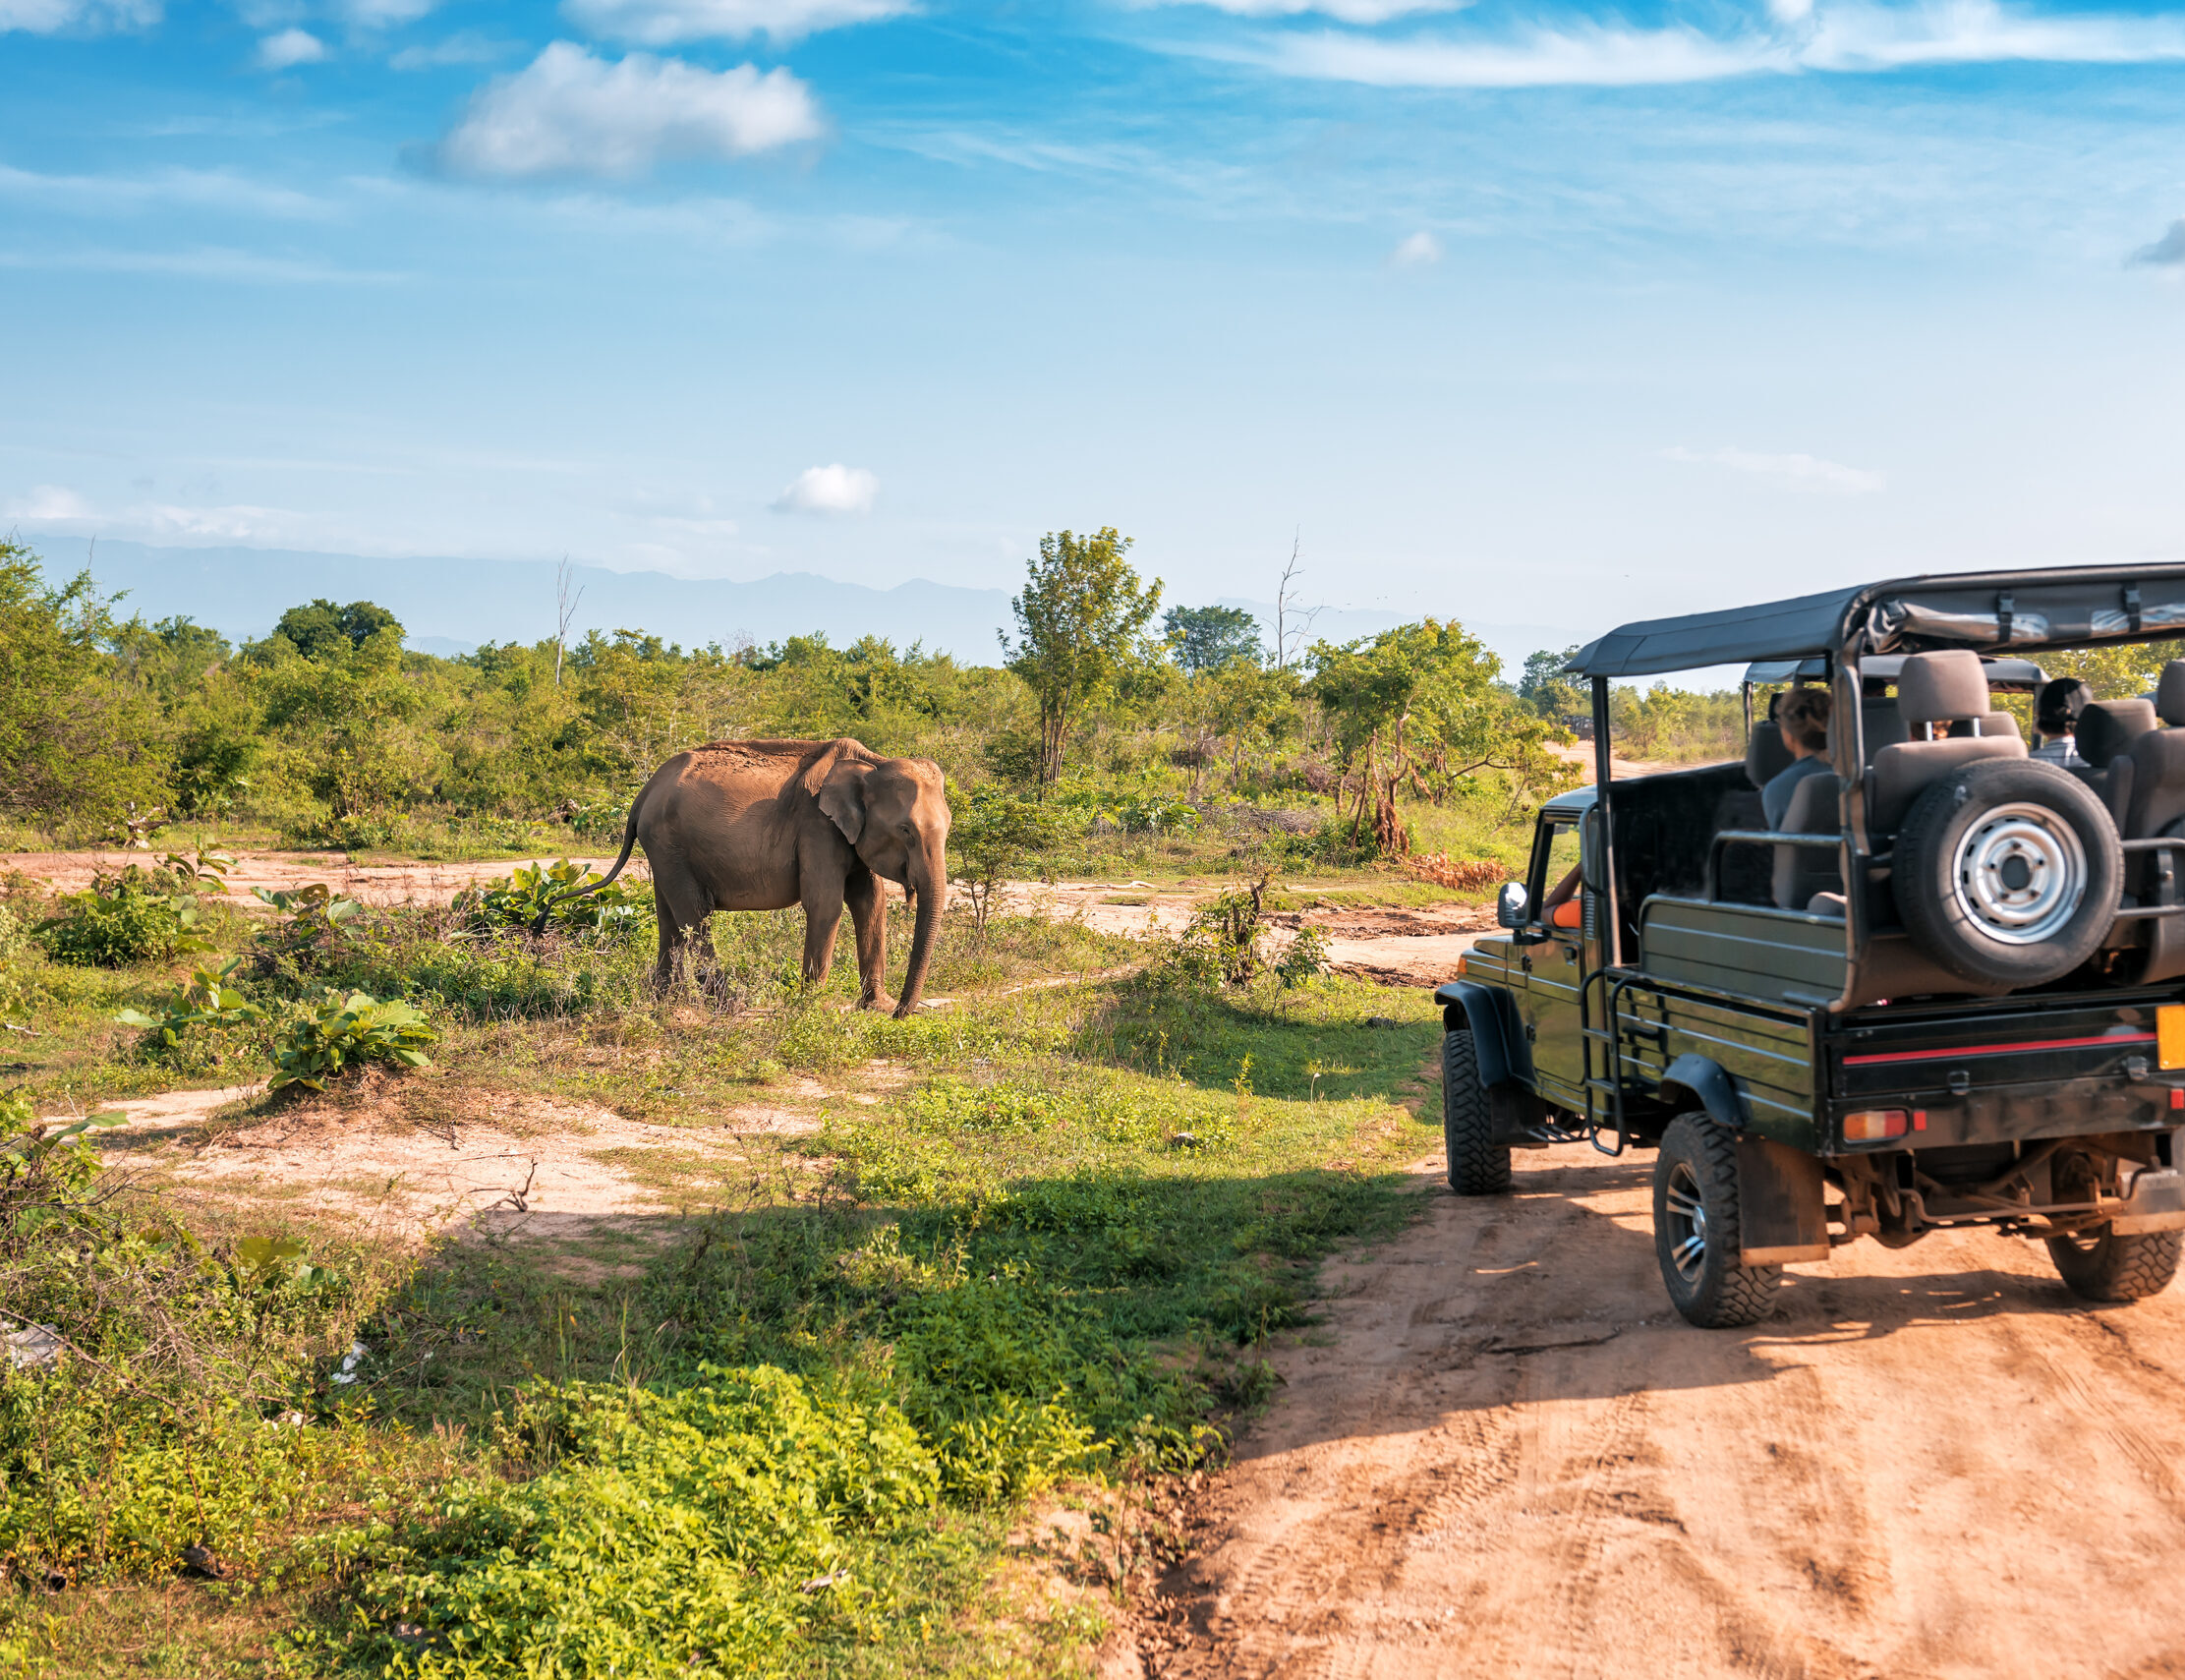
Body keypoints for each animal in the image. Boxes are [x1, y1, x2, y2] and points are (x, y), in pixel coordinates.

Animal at [535, 738, 951, 1019]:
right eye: (906, 831)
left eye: (948, 828)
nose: (902, 1013)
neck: (871, 763)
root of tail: (644, 791)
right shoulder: (817, 827)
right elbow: (827, 904)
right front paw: (812, 1008)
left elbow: (869, 901)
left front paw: (874, 1006)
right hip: (669, 843)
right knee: (694, 912)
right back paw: (729, 1004)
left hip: (662, 848)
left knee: (669, 916)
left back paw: (667, 1003)